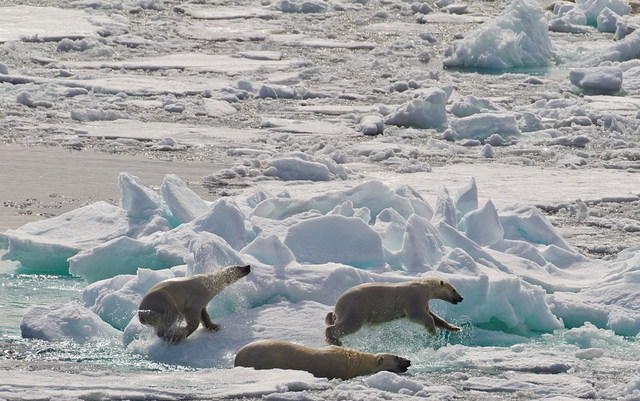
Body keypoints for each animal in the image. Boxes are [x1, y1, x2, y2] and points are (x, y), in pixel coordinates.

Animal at [328, 276, 462, 346]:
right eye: (454, 290)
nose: (461, 298)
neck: (424, 287)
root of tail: (337, 304)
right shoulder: (415, 298)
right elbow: (417, 315)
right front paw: (432, 331)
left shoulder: (424, 302)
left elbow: (434, 316)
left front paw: (455, 328)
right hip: (356, 308)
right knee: (349, 325)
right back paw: (335, 340)